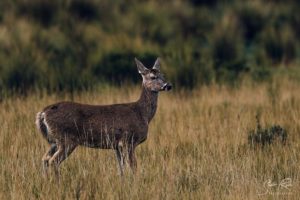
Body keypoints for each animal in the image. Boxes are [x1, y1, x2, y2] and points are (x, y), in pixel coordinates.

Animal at [35, 57, 171, 177]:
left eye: (163, 75)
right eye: (153, 77)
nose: (168, 85)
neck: (142, 113)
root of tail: (42, 114)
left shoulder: (117, 146)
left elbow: (121, 170)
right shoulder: (128, 140)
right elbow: (133, 167)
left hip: (54, 141)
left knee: (44, 159)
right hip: (67, 139)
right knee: (53, 161)